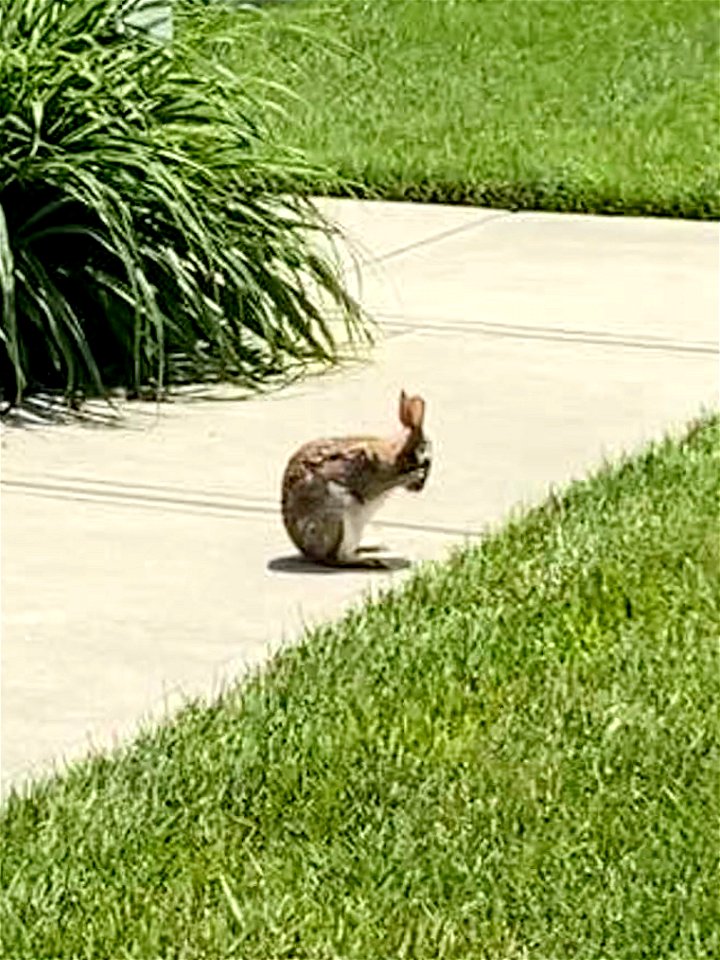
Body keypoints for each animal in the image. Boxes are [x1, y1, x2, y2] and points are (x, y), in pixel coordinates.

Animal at [280, 390, 428, 568]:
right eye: (427, 464)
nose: (421, 487)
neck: (397, 455)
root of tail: (309, 553)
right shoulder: (372, 476)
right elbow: (378, 486)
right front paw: (412, 475)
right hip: (338, 517)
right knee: (340, 558)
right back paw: (376, 561)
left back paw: (374, 546)